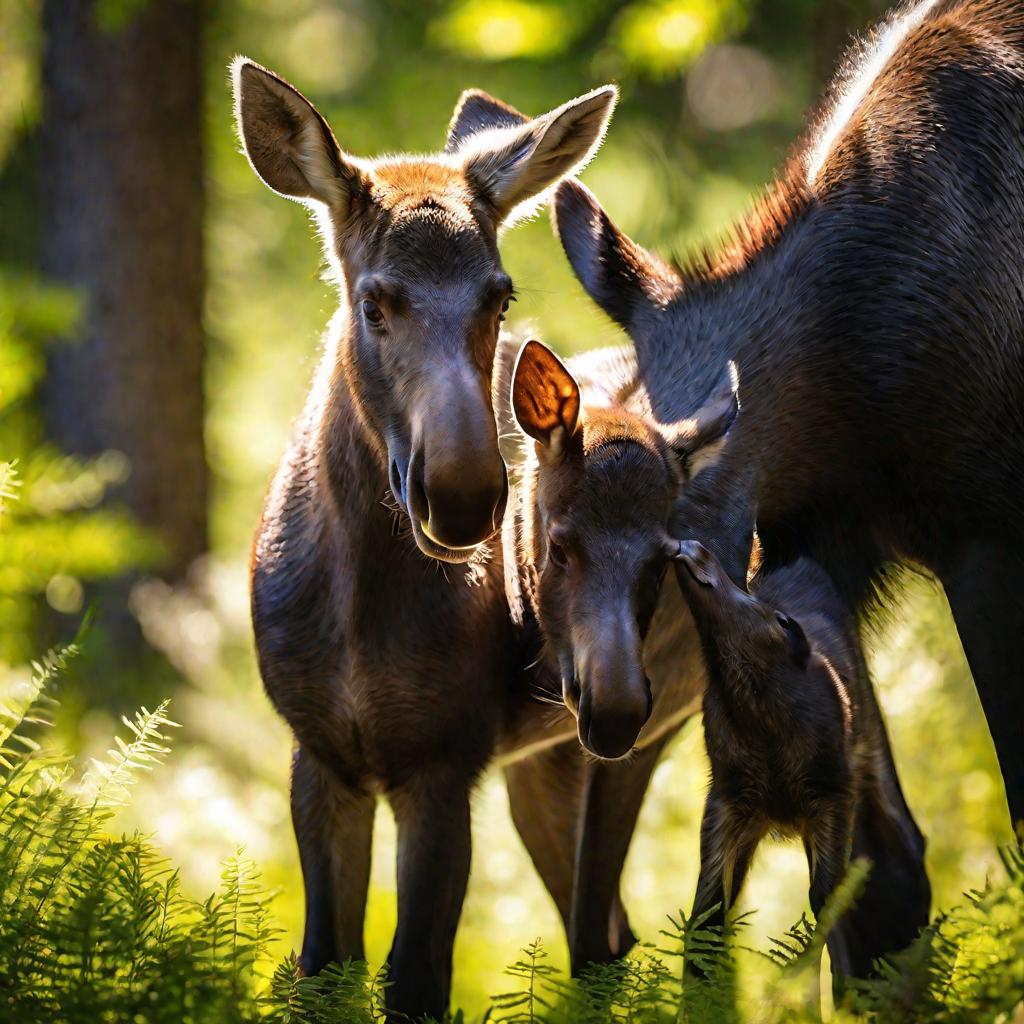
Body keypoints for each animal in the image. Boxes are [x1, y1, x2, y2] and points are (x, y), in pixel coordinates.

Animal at [232, 59, 614, 1019]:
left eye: (500, 295)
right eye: (375, 301)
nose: (465, 494)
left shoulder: (445, 756)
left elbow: (413, 981)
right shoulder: (320, 753)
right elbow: (322, 968)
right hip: (555, 759)